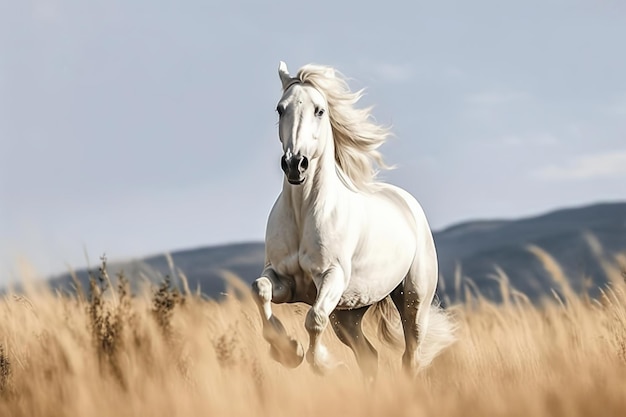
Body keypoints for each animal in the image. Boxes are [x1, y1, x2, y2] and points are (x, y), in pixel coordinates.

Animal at [251, 61, 456, 376]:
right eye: (280, 109)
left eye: (319, 110)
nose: (295, 164)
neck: (303, 213)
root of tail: (407, 203)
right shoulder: (283, 279)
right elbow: (259, 290)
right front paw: (287, 350)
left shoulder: (331, 277)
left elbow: (314, 319)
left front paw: (322, 364)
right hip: (349, 312)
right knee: (369, 356)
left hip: (413, 302)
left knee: (409, 356)